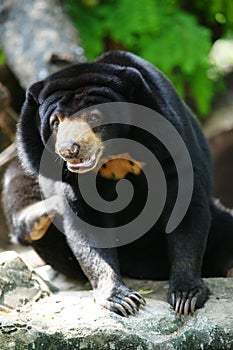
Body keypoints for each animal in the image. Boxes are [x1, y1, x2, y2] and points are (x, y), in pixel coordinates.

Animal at [2, 50, 233, 318]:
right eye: (55, 122)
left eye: (94, 116)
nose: (69, 150)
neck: (112, 155)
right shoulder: (67, 177)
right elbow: (86, 223)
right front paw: (122, 299)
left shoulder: (168, 140)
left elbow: (185, 206)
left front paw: (186, 297)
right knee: (18, 183)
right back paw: (43, 214)